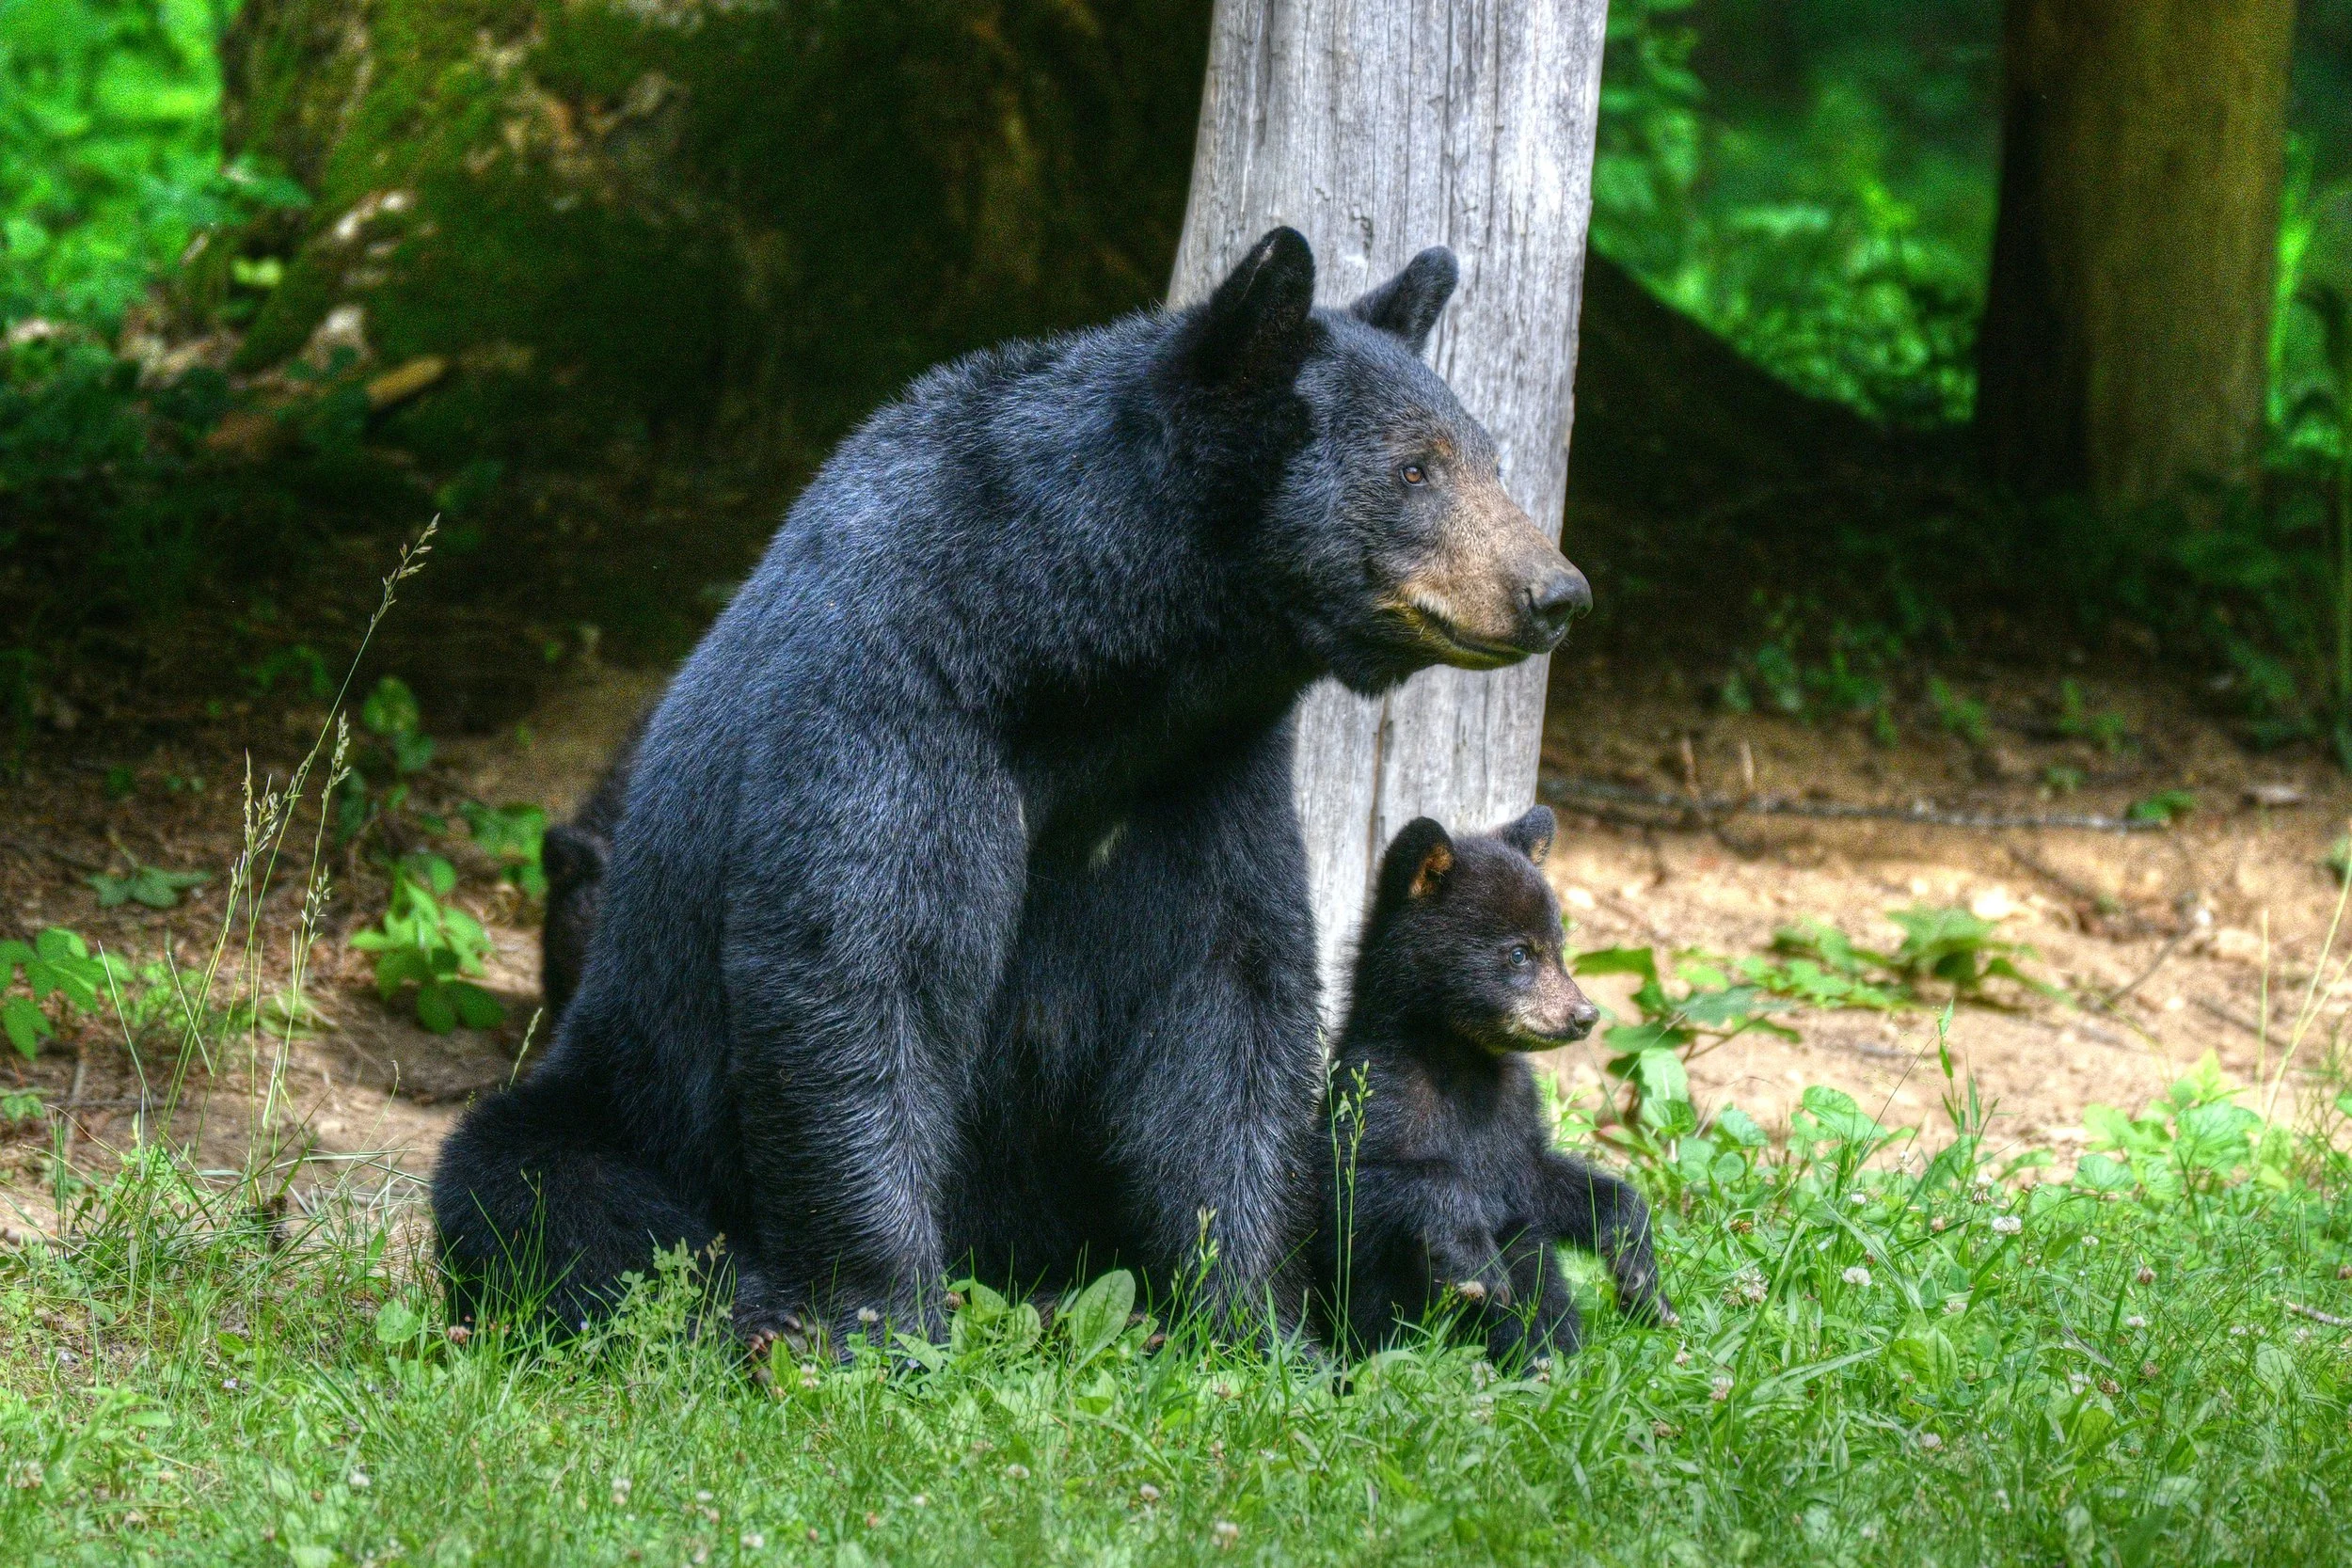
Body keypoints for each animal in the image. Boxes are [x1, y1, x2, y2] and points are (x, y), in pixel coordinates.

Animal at [431, 227, 1593, 1347]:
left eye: (1491, 458)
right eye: (1415, 468)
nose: (1556, 592)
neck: (1087, 669)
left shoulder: (1207, 774)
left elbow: (1227, 1004)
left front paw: (1259, 1323)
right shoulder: (894, 699)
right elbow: (862, 971)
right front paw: (889, 1319)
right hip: (626, 1086)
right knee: (540, 1191)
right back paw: (753, 1310)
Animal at [1309, 806, 1672, 1364]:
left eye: (1560, 949)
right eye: (1519, 954)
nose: (1585, 1015)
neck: (1464, 1061)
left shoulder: (1516, 1112)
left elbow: (1544, 1182)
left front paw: (1639, 1269)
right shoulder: (1376, 1090)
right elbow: (1351, 1192)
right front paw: (1477, 1265)